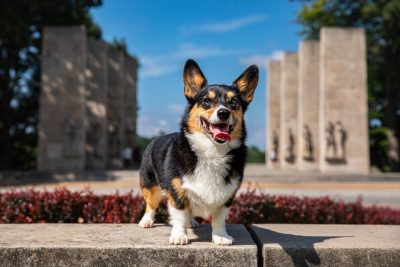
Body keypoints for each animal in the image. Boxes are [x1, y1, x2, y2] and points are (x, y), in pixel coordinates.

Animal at [138, 59, 260, 246]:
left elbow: (219, 219)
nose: (223, 113)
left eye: (233, 103)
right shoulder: (177, 192)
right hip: (150, 186)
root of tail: (155, 139)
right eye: (206, 101)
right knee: (151, 204)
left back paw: (192, 221)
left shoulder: (227, 197)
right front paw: (179, 236)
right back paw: (146, 221)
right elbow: (180, 215)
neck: (212, 150)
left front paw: (220, 237)